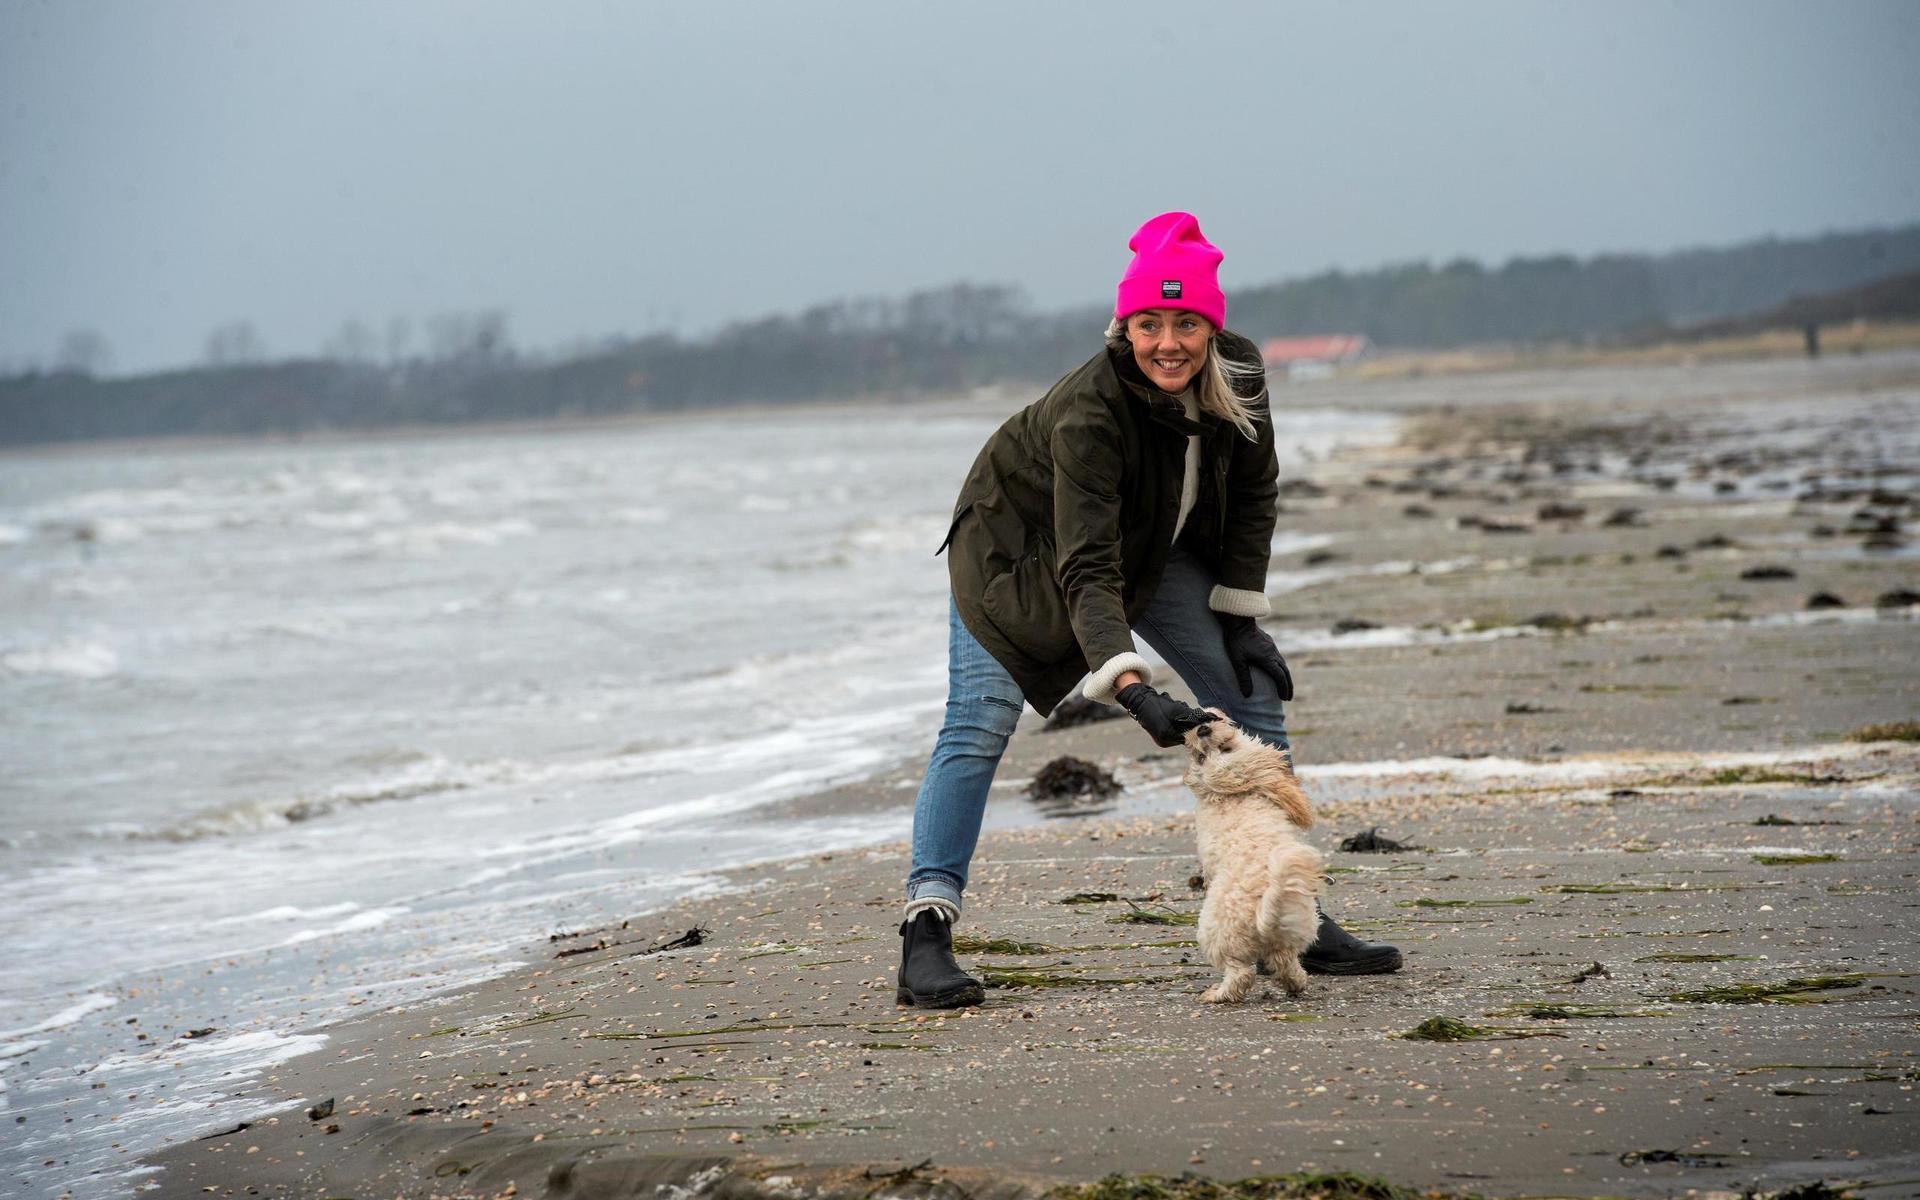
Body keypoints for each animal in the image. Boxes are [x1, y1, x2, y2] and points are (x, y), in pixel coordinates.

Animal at [1175, 710, 1328, 998]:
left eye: (1222, 747)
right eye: (1201, 755)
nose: (1201, 729)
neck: (1229, 794)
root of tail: (1260, 917)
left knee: (1277, 965)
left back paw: (1295, 983)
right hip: (1219, 937)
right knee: (1242, 976)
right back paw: (1218, 995)